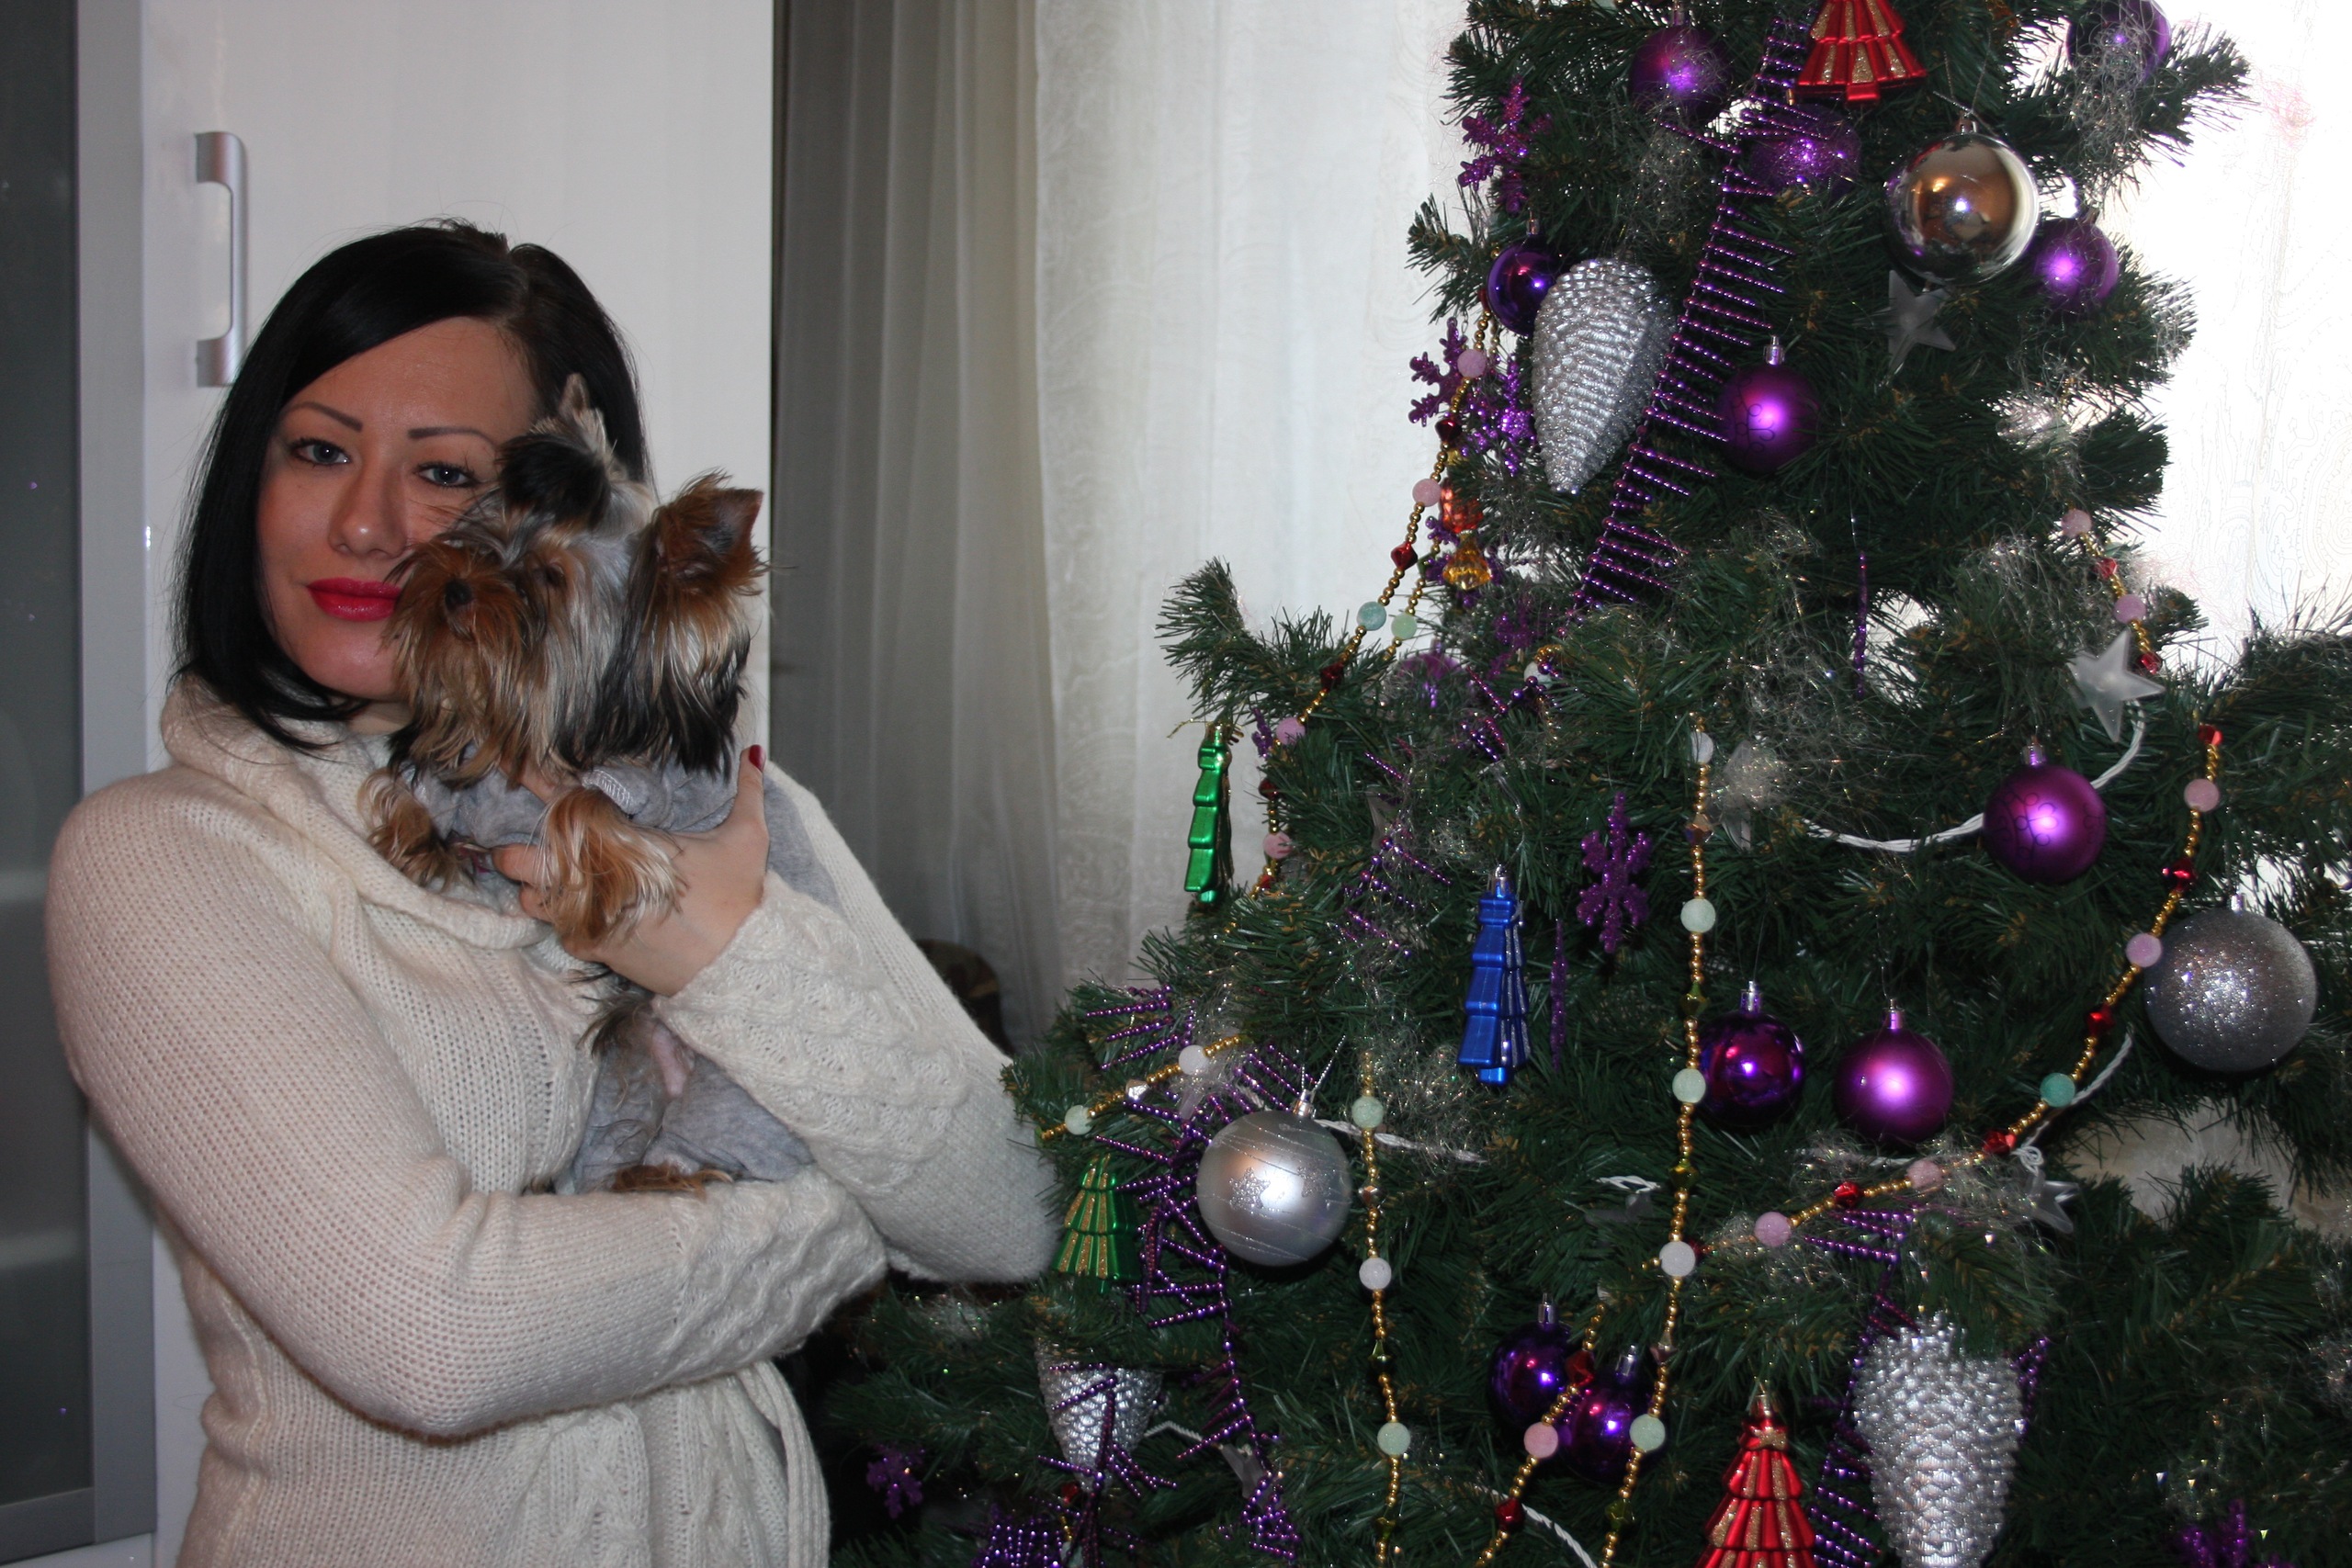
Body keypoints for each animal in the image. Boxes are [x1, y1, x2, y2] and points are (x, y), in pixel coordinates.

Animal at [366, 378, 819, 1193]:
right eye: (486, 532)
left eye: (547, 578)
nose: (453, 585)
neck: (552, 728)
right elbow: (429, 788)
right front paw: (415, 834)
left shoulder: (666, 791)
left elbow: (589, 798)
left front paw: (599, 881)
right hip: (623, 1079)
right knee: (614, 1156)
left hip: (735, 1099)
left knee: (708, 1149)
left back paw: (674, 1169)